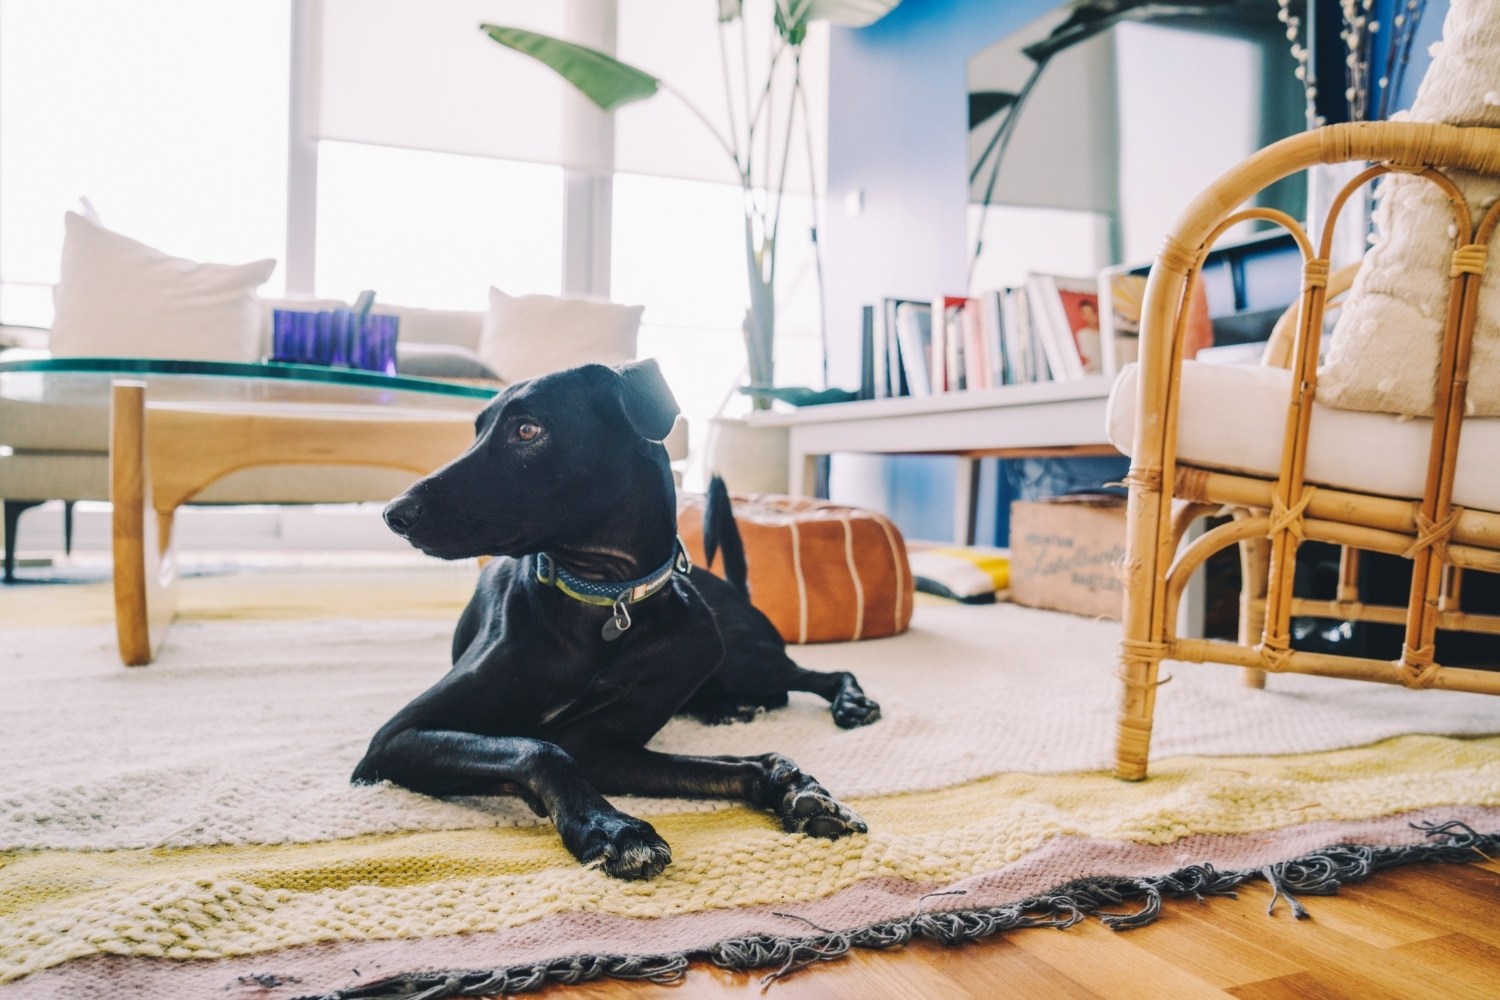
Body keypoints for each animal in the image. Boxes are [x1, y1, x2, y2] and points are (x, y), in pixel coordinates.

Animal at [354, 364, 876, 881]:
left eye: (527, 430)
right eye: (478, 430)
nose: (393, 514)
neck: (604, 599)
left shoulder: (601, 744)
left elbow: (721, 763)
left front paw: (793, 788)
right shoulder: (396, 740)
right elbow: (539, 748)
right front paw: (613, 828)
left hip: (734, 657)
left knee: (818, 674)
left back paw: (846, 702)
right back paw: (728, 709)